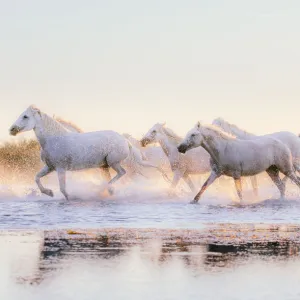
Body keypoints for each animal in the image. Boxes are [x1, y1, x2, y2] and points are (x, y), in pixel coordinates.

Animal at [8, 105, 144, 199]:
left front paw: (71, 198)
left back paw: (102, 190)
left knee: (122, 173)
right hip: (104, 166)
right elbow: (36, 178)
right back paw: (108, 191)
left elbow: (63, 189)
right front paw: (49, 193)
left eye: (25, 116)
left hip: (113, 163)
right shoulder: (50, 167)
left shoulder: (60, 168)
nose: (12, 130)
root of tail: (125, 141)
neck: (53, 139)